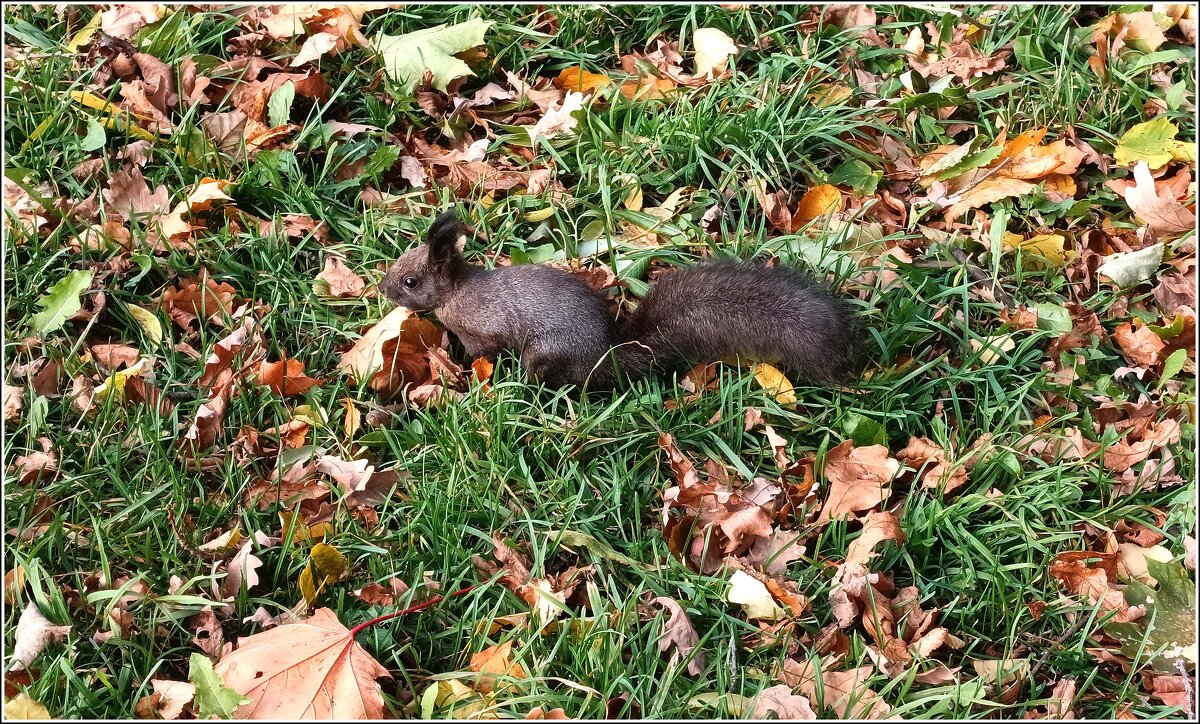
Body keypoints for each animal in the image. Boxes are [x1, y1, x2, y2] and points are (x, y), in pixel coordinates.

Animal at [379, 207, 859, 391]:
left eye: (410, 281)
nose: (382, 288)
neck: (459, 291)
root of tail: (604, 357)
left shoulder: (483, 331)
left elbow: (481, 352)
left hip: (545, 354)